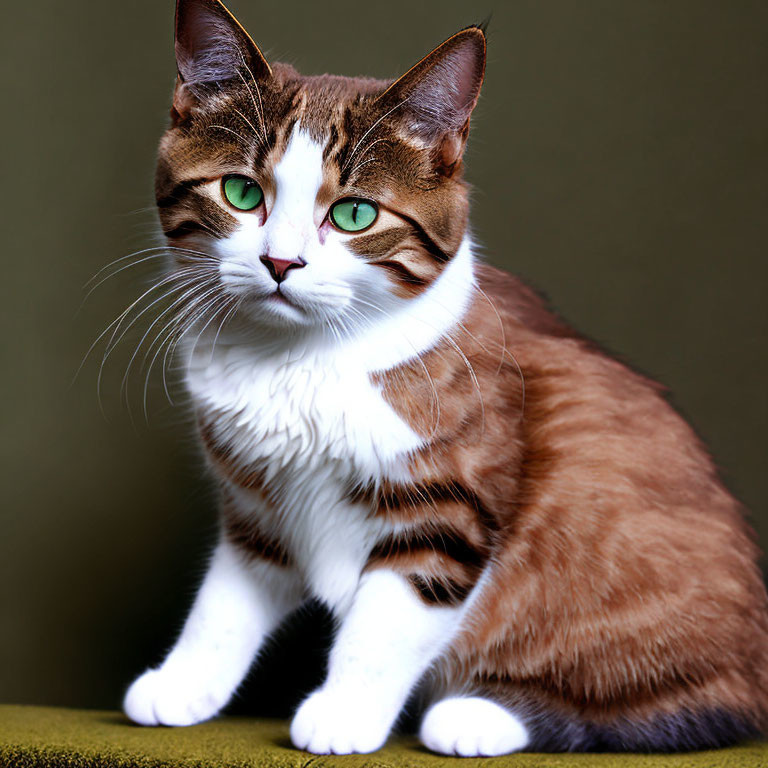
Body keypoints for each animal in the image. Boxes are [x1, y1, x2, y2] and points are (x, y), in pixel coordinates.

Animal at [123, 0, 768, 756]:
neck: (296, 360)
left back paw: (478, 715)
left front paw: (343, 713)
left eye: (354, 213)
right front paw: (183, 683)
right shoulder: (257, 509)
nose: (281, 263)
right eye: (240, 191)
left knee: (689, 706)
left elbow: (384, 623)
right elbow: (223, 604)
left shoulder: (446, 509)